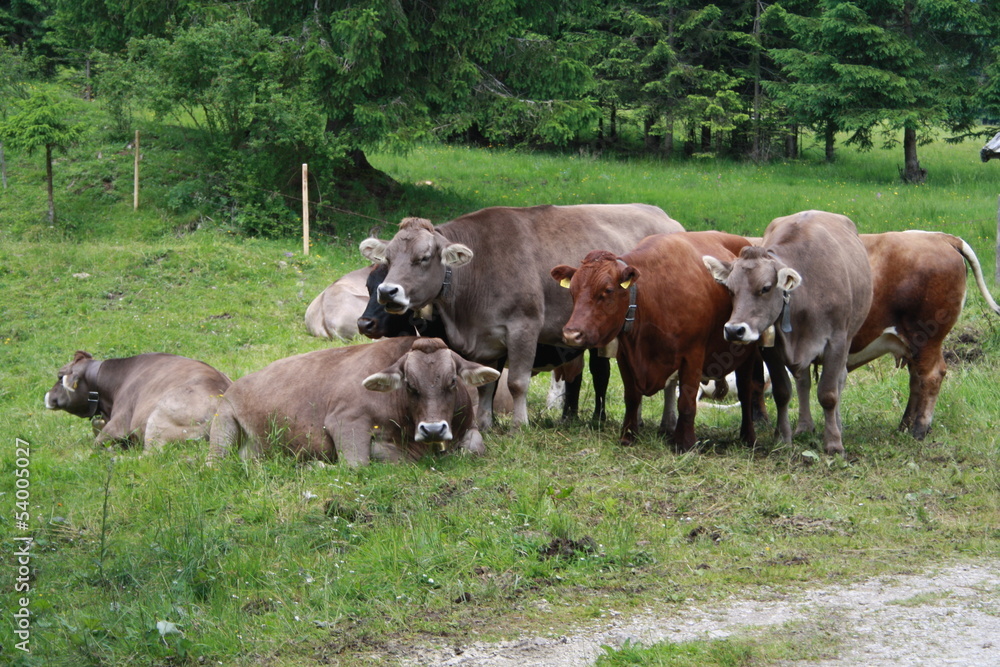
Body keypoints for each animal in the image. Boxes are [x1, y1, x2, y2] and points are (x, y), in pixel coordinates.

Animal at [206, 337, 500, 466]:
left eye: (452, 381)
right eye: (409, 385)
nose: (434, 429)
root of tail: (238, 382)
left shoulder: (468, 426)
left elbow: (476, 446)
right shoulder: (345, 419)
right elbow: (359, 463)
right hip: (224, 423)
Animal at [359, 204, 684, 429]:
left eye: (424, 257)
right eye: (388, 258)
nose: (388, 291)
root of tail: (669, 220)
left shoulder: (524, 327)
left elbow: (516, 382)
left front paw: (519, 425)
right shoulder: (487, 339)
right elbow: (486, 383)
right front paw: (485, 423)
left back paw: (661, 421)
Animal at [551, 231, 758, 450]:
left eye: (607, 290)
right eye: (572, 290)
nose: (572, 334)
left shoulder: (693, 356)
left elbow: (686, 402)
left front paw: (685, 443)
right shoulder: (626, 356)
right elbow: (632, 398)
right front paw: (628, 435)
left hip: (748, 354)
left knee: (746, 392)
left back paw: (748, 437)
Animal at [703, 210, 873, 455]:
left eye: (765, 288)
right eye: (730, 289)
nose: (734, 330)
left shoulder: (837, 342)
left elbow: (829, 394)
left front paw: (833, 443)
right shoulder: (771, 350)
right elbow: (782, 392)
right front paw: (783, 438)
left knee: (839, 381)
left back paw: (837, 425)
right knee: (803, 382)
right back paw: (804, 426)